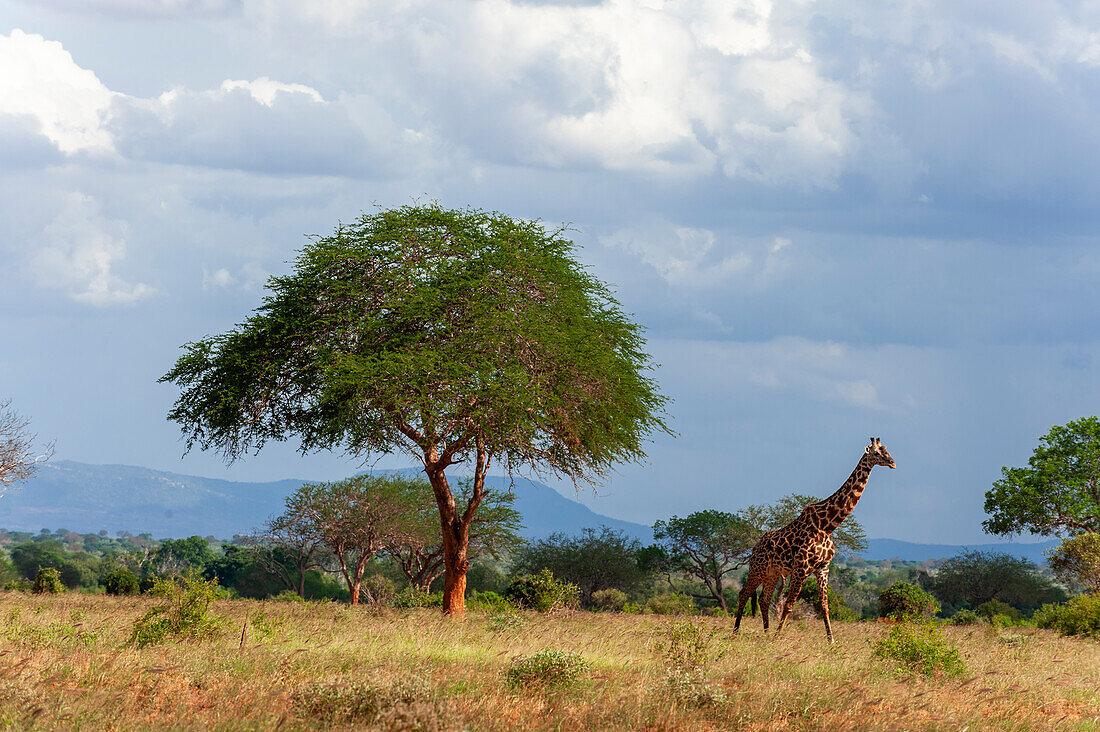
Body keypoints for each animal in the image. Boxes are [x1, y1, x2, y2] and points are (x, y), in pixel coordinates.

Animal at [730, 435, 893, 642]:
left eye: (887, 450)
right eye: (876, 453)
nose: (892, 462)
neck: (827, 525)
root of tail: (754, 548)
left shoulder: (823, 568)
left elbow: (824, 606)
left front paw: (831, 640)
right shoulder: (801, 569)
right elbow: (789, 604)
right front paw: (778, 636)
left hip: (773, 572)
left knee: (763, 599)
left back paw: (765, 632)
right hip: (758, 568)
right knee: (744, 593)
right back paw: (736, 631)